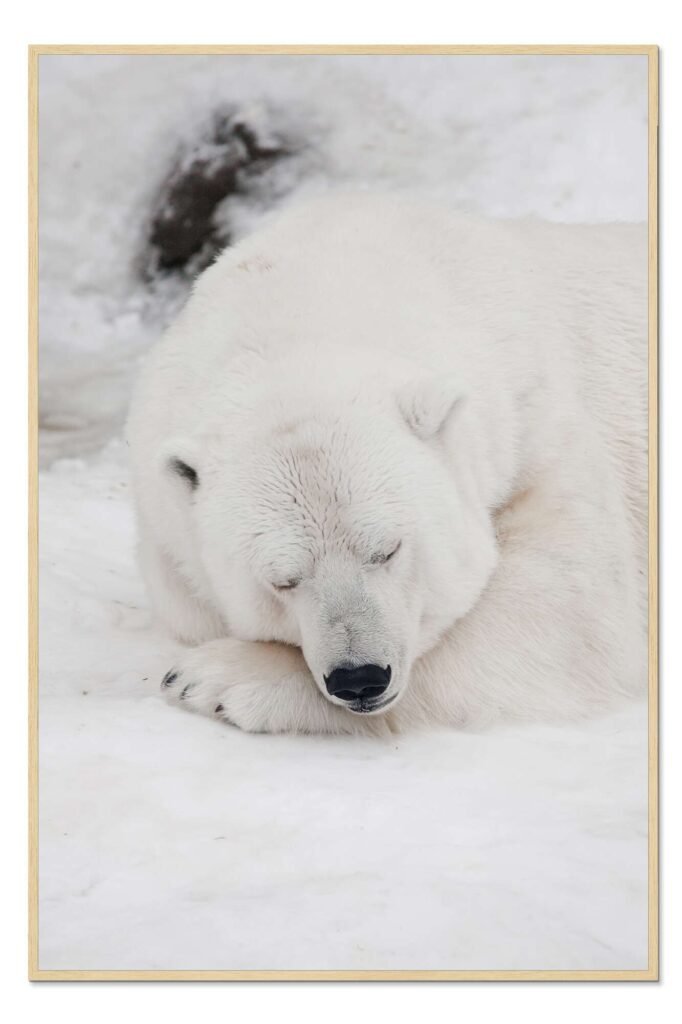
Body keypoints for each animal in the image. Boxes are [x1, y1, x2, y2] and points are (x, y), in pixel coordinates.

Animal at [126, 191, 648, 735]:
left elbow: (566, 606)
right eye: (282, 579)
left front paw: (214, 678)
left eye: (388, 549)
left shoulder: (536, 420)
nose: (360, 677)